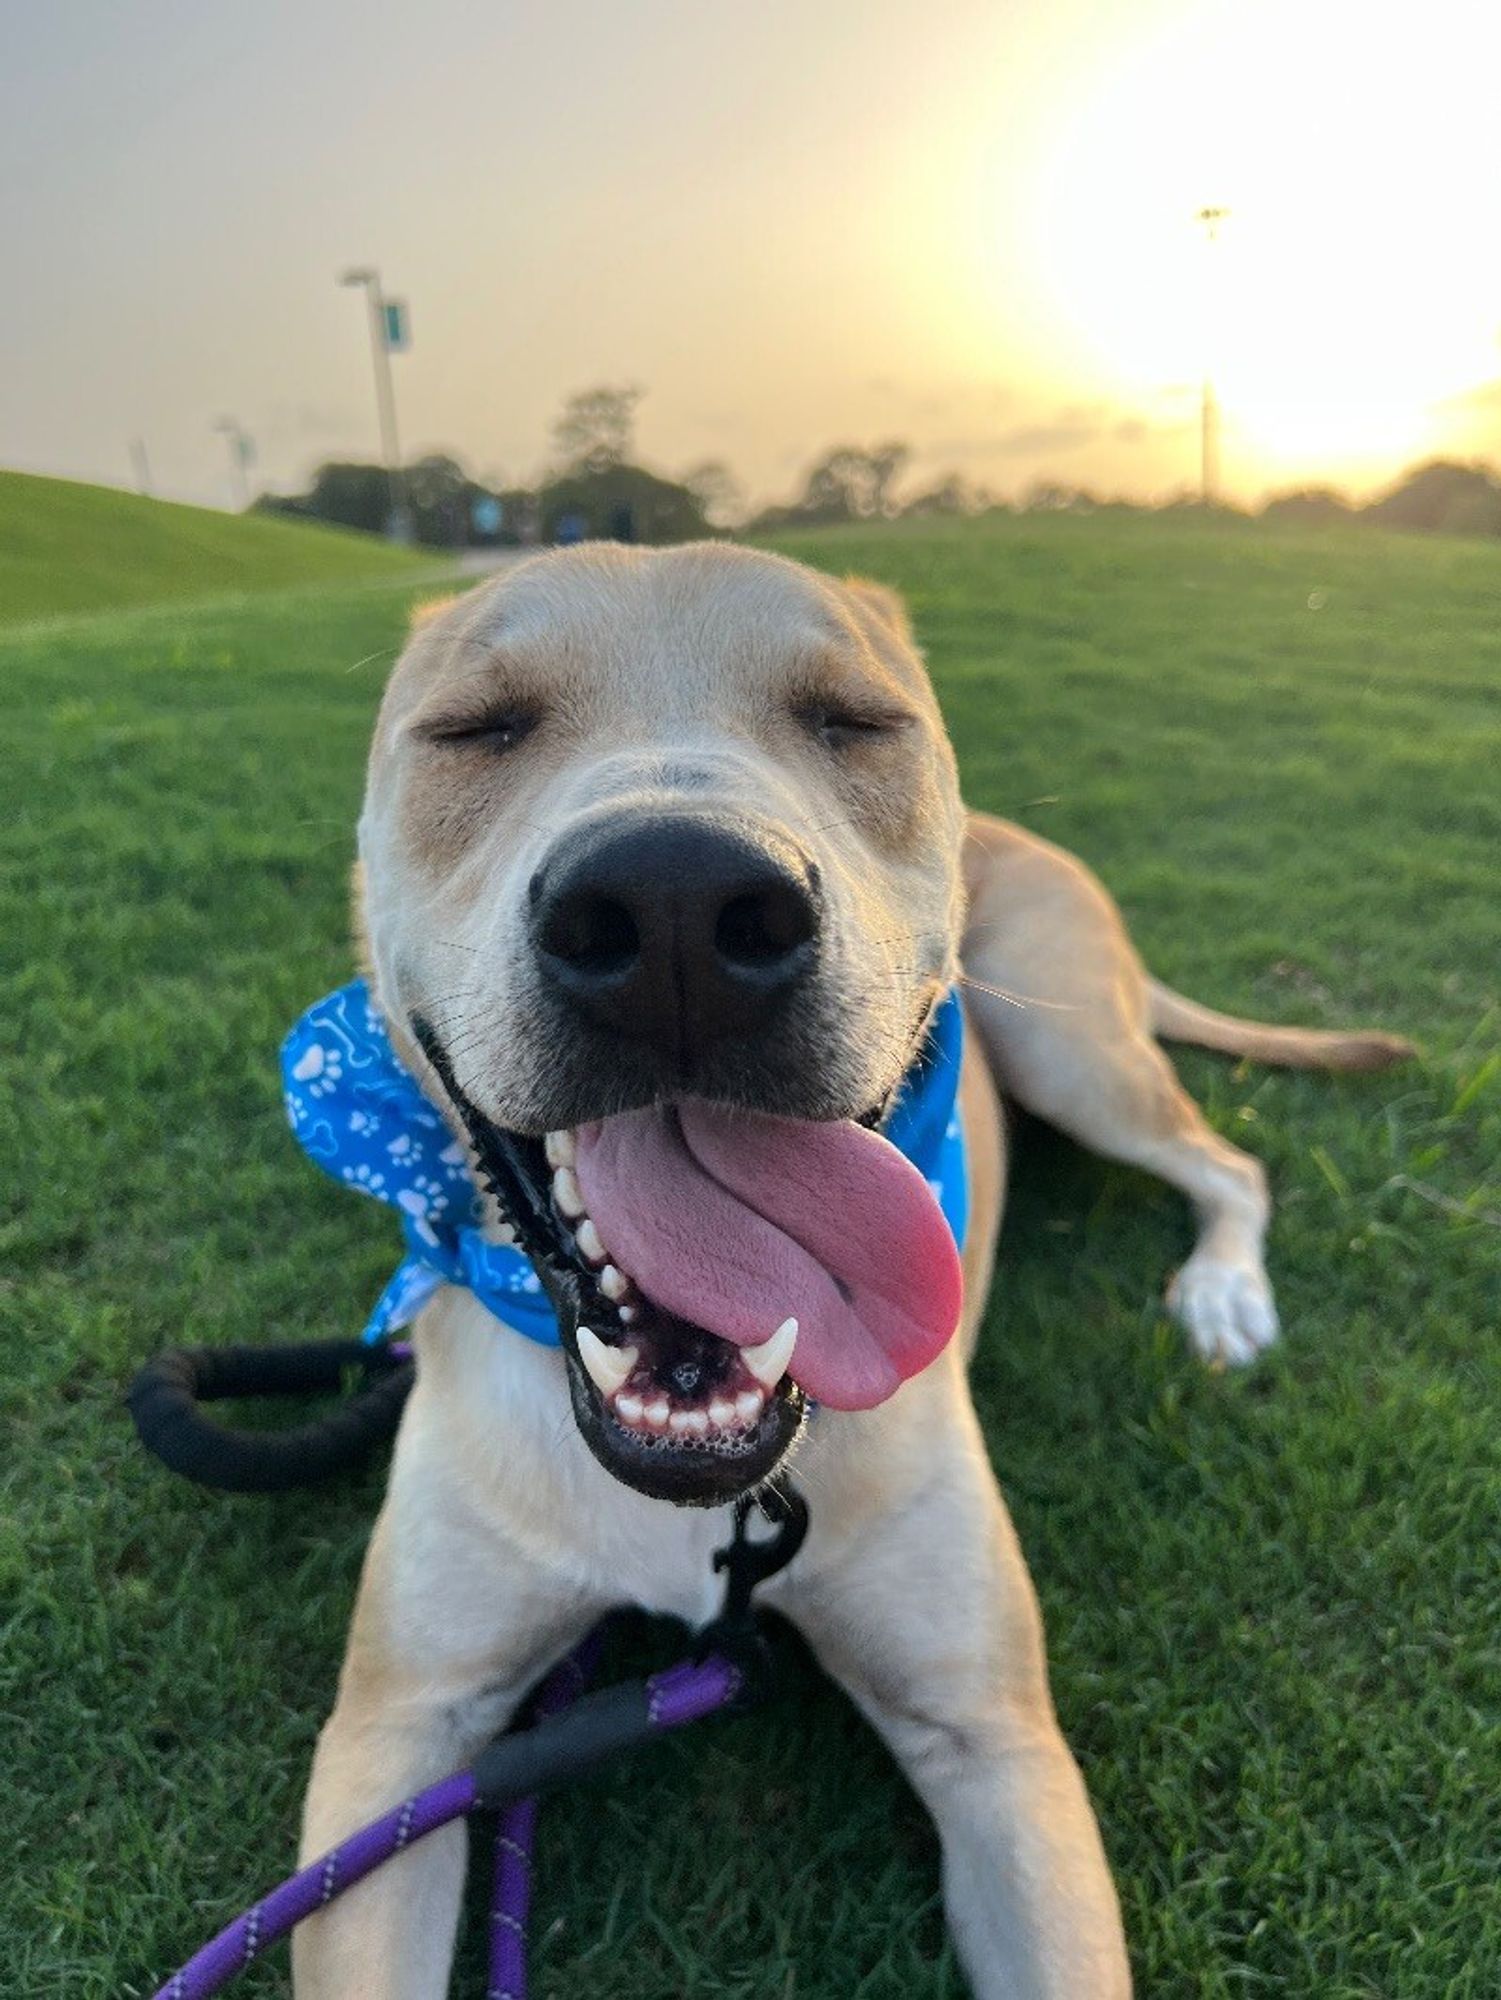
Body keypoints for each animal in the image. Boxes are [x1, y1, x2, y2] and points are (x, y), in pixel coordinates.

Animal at [290, 544, 1408, 2000]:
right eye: (476, 729)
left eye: (855, 721)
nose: (674, 909)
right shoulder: (395, 1737)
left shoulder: (995, 1743)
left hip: (1071, 1043)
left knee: (1229, 1163)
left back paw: (1223, 1287)